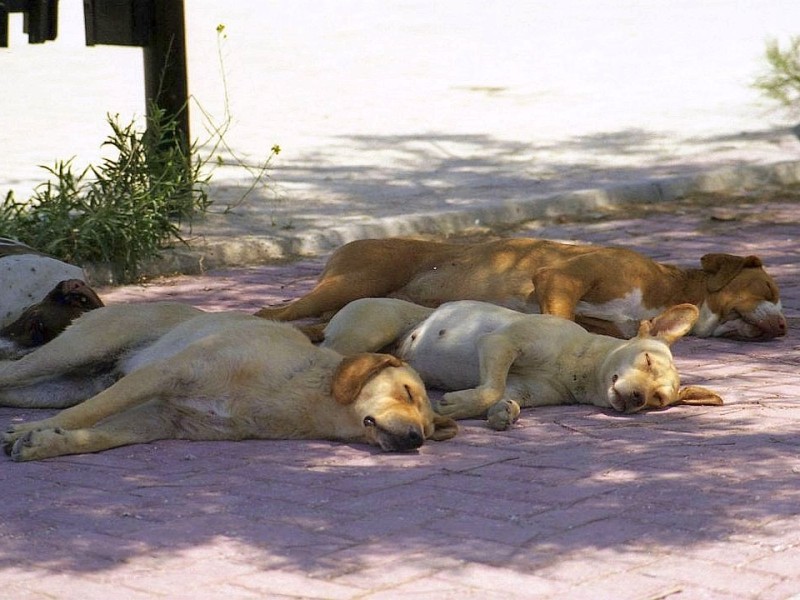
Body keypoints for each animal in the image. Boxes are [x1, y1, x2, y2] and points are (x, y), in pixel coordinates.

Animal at [0, 302, 456, 462]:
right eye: (407, 391)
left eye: (429, 429)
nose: (415, 439)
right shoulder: (167, 373)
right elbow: (86, 414)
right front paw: (29, 432)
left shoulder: (158, 420)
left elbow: (95, 435)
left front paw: (46, 443)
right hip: (71, 352)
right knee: (15, 371)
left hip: (53, 387)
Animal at [318, 298, 724, 428]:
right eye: (647, 360)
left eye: (659, 400)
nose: (639, 399)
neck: (576, 367)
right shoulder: (501, 343)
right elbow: (490, 387)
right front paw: (460, 404)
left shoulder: (522, 388)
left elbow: (505, 397)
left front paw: (503, 414)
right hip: (366, 332)